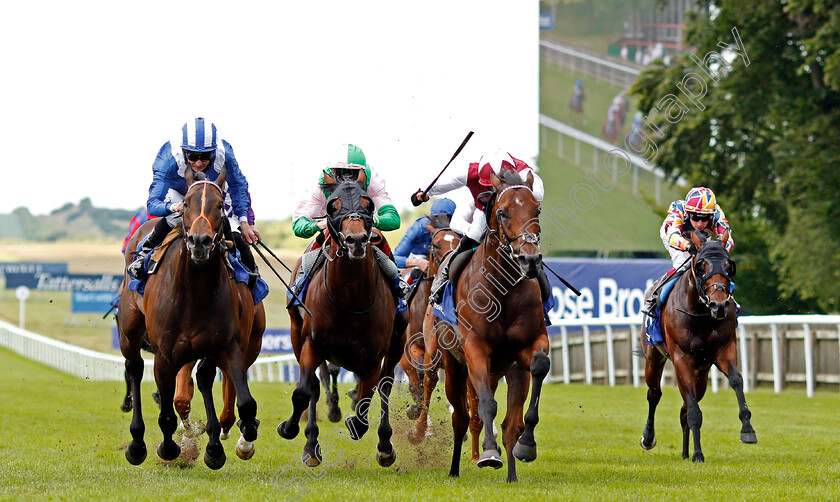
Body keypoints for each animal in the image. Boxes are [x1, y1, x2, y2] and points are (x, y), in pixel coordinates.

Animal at [118, 171, 260, 468]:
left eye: (220, 205)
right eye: (185, 204)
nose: (200, 242)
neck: (195, 289)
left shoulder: (227, 345)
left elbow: (245, 402)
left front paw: (233, 441)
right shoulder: (165, 354)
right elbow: (166, 413)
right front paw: (168, 448)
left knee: (204, 378)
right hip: (129, 331)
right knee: (134, 368)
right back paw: (136, 443)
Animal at [278, 176, 404, 466]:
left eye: (368, 205)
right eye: (332, 206)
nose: (356, 240)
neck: (350, 298)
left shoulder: (372, 355)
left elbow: (368, 398)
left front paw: (358, 426)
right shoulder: (311, 343)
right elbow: (304, 392)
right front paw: (291, 429)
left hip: (397, 341)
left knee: (385, 385)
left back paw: (384, 444)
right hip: (296, 334)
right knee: (315, 387)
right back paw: (311, 443)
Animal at [430, 170, 548, 482]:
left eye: (537, 210)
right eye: (503, 212)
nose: (530, 259)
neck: (503, 291)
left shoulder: (530, 344)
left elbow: (539, 368)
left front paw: (527, 445)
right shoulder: (475, 348)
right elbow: (485, 405)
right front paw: (489, 453)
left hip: (513, 370)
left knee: (510, 424)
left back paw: (512, 473)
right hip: (453, 365)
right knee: (460, 417)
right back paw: (455, 469)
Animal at [640, 229, 756, 460]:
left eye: (729, 266)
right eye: (701, 267)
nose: (719, 305)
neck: (701, 314)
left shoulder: (724, 350)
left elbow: (736, 380)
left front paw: (747, 429)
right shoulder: (681, 358)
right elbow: (694, 411)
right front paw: (698, 455)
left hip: (701, 372)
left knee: (685, 406)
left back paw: (686, 452)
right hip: (654, 357)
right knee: (655, 393)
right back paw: (649, 438)